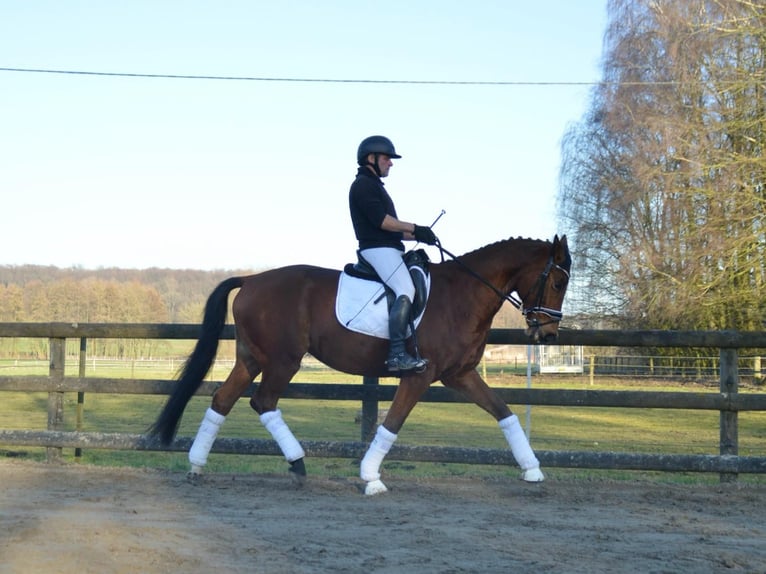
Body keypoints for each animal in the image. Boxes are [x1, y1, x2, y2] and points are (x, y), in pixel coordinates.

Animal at [150, 235, 571, 495]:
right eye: (557, 282)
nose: (549, 334)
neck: (462, 295)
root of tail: (252, 280)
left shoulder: (460, 375)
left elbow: (504, 412)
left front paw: (532, 469)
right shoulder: (419, 376)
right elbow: (392, 424)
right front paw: (370, 478)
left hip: (252, 359)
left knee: (223, 400)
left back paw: (196, 465)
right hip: (284, 360)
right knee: (263, 402)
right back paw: (298, 464)